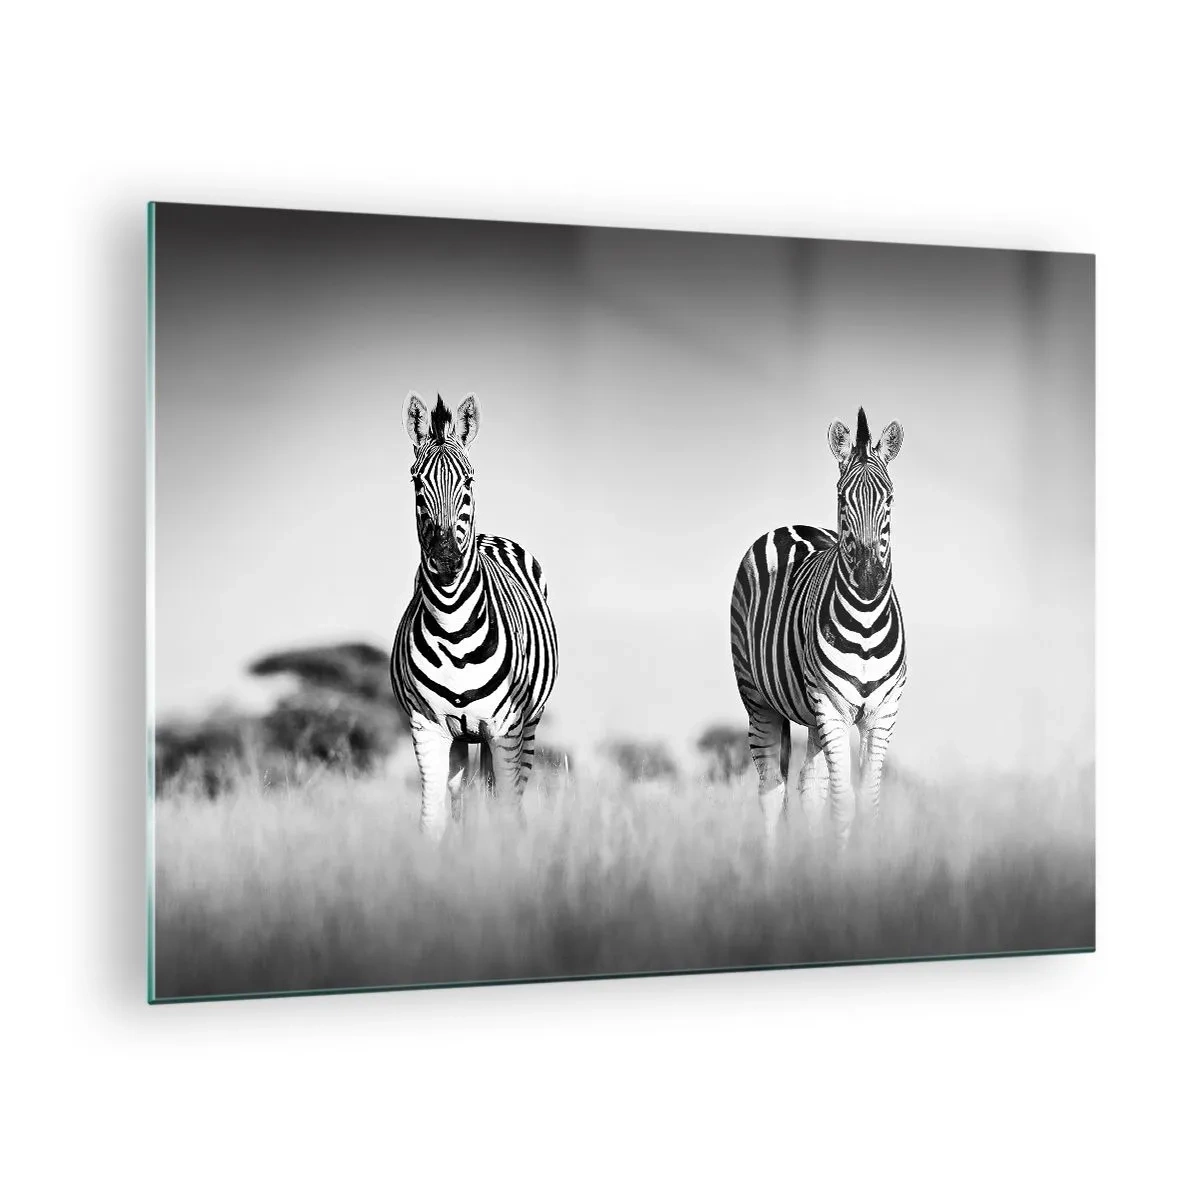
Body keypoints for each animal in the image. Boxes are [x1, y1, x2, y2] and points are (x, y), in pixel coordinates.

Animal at [391, 392, 559, 838]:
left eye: (468, 481)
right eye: (416, 482)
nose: (447, 558)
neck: (453, 628)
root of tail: (489, 536)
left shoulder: (506, 729)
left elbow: (505, 810)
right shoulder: (427, 728)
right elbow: (432, 819)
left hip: (526, 728)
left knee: (508, 796)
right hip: (463, 737)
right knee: (462, 795)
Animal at [729, 408, 906, 847]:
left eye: (890, 499)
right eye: (842, 498)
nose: (868, 579)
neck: (865, 622)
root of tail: (791, 525)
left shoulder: (883, 712)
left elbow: (867, 804)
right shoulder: (831, 705)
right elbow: (842, 805)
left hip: (810, 716)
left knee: (809, 789)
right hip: (757, 698)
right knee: (771, 790)